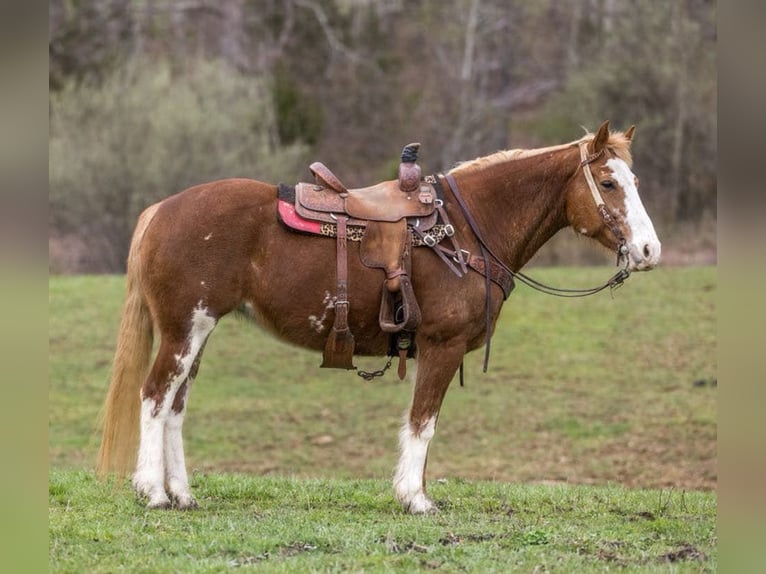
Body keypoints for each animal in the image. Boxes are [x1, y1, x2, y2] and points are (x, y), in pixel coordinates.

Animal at [97, 120, 660, 514]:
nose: (650, 250)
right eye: (609, 183)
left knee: (175, 406)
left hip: (198, 330)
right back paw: (153, 492)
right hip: (183, 331)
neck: (465, 232)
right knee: (154, 398)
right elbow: (423, 423)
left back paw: (182, 493)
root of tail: (161, 210)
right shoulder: (441, 347)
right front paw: (416, 498)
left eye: (635, 179)